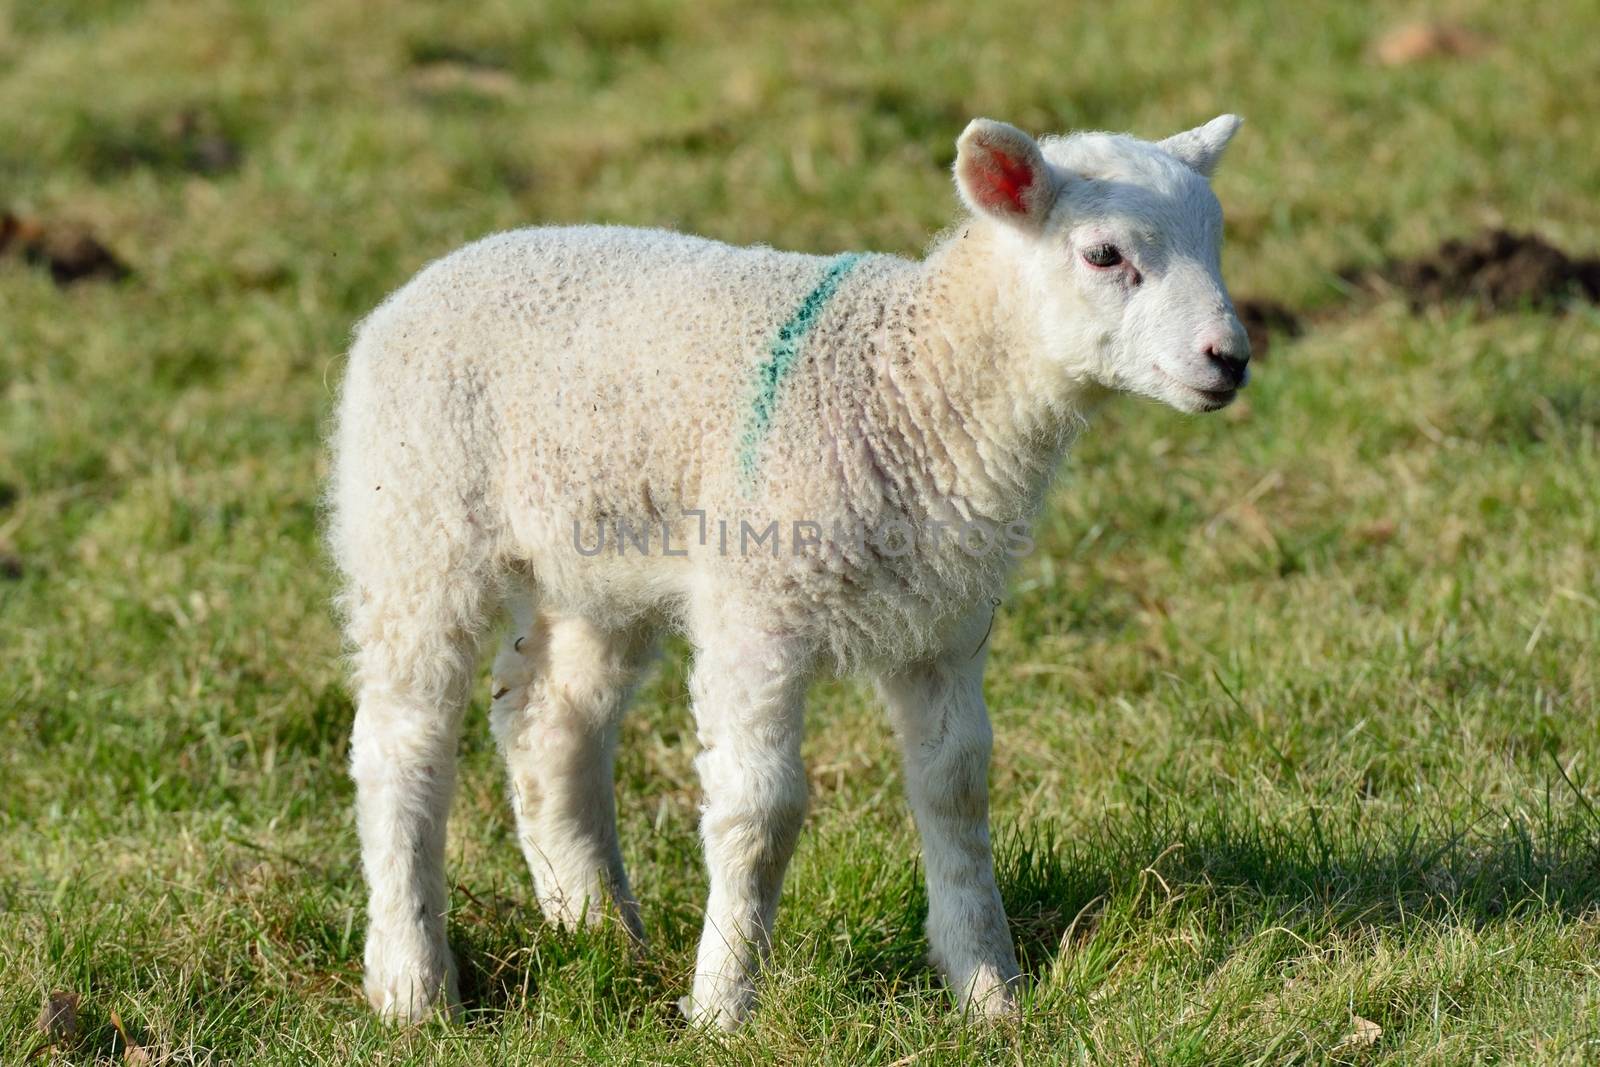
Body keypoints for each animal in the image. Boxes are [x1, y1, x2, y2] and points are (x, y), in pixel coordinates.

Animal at [324, 112, 1248, 1030]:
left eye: (1216, 239)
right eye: (1104, 255)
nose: (1230, 356)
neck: (914, 387)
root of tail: (427, 279)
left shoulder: (945, 625)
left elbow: (956, 789)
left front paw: (988, 989)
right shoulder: (756, 608)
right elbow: (760, 812)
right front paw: (723, 1002)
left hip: (598, 563)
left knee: (549, 724)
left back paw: (599, 928)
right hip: (414, 526)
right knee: (401, 744)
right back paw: (412, 983)